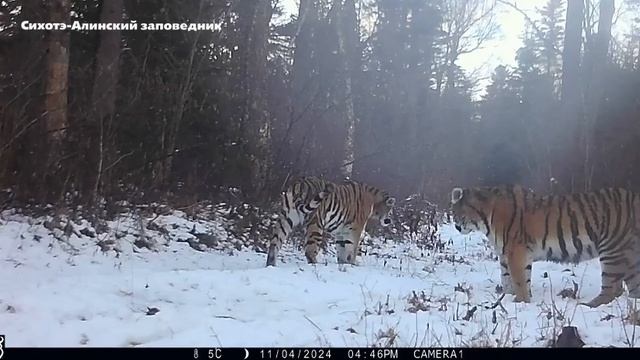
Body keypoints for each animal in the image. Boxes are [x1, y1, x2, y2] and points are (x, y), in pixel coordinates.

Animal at [264, 179, 396, 266]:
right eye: (390, 210)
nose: (389, 221)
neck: (374, 202)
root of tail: (300, 186)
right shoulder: (356, 228)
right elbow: (353, 247)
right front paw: (352, 263)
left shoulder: (342, 231)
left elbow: (342, 247)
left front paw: (343, 263)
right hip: (315, 223)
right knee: (310, 250)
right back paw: (316, 265)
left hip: (285, 219)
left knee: (274, 244)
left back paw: (271, 265)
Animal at [450, 186, 640, 306]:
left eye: (454, 212)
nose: (456, 227)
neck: (485, 218)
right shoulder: (506, 255)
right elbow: (507, 279)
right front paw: (508, 298)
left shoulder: (515, 252)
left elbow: (519, 280)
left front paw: (521, 302)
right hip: (629, 254)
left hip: (611, 249)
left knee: (613, 289)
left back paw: (589, 305)